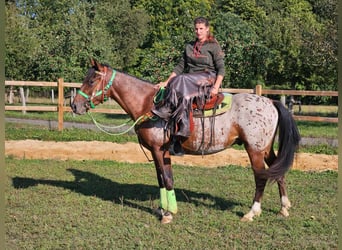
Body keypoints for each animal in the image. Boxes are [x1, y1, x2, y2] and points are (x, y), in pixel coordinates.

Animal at [71, 59, 300, 225]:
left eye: (91, 81)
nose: (75, 105)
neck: (149, 105)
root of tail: (270, 101)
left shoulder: (158, 150)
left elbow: (166, 179)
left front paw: (167, 214)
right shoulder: (159, 152)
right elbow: (162, 179)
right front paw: (164, 209)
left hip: (254, 150)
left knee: (261, 178)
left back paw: (252, 213)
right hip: (266, 149)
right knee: (278, 170)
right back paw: (284, 208)